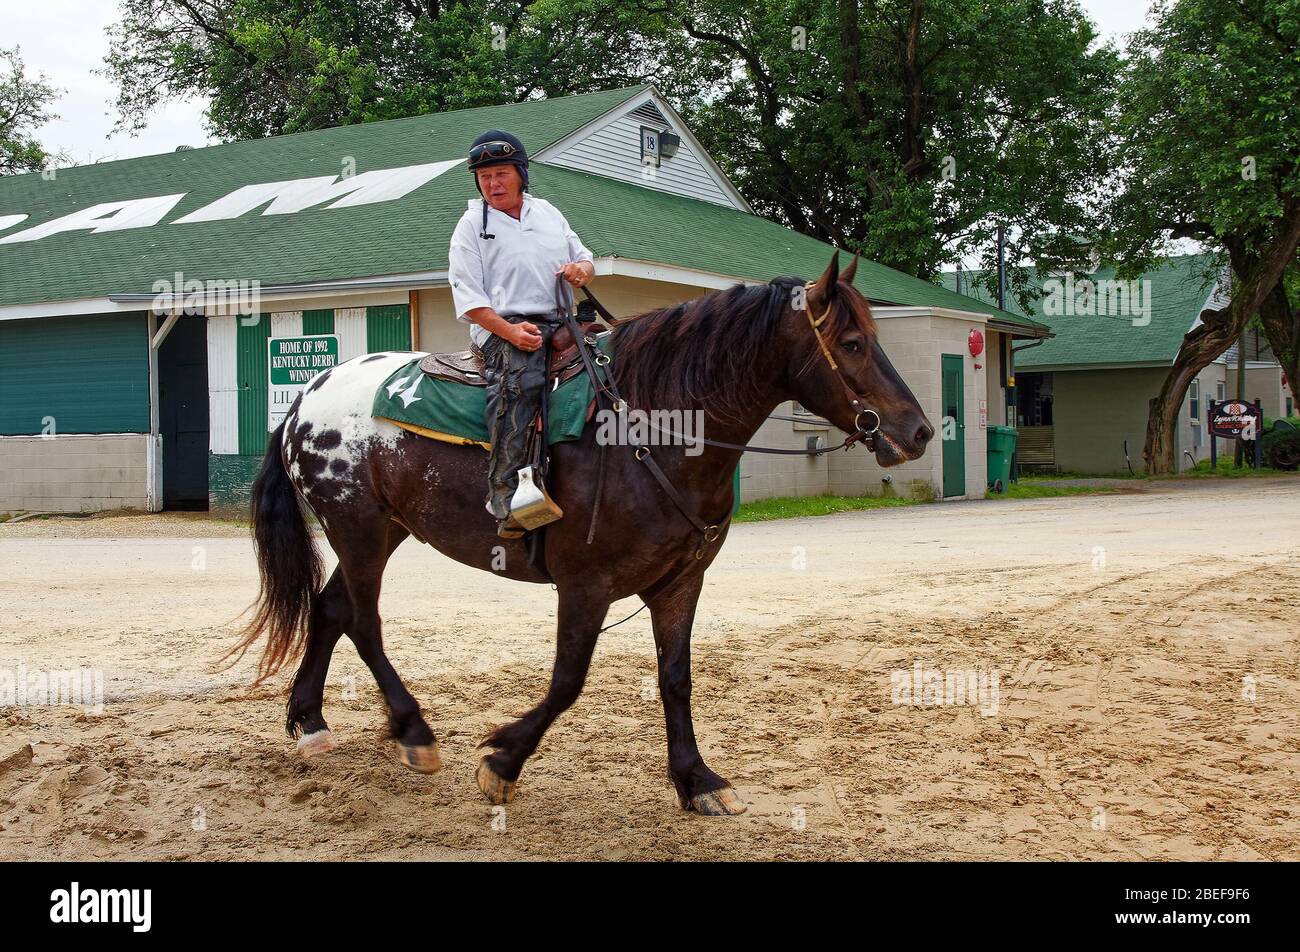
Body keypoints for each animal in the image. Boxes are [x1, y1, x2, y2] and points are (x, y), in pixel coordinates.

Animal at [231, 252, 925, 816]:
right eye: (853, 343)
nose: (917, 431)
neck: (650, 430)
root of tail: (307, 396)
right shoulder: (585, 586)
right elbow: (568, 681)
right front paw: (502, 761)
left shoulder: (681, 583)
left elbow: (676, 677)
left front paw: (697, 781)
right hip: (359, 530)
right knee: (363, 622)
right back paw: (414, 733)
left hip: (382, 532)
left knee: (330, 610)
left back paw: (311, 723)